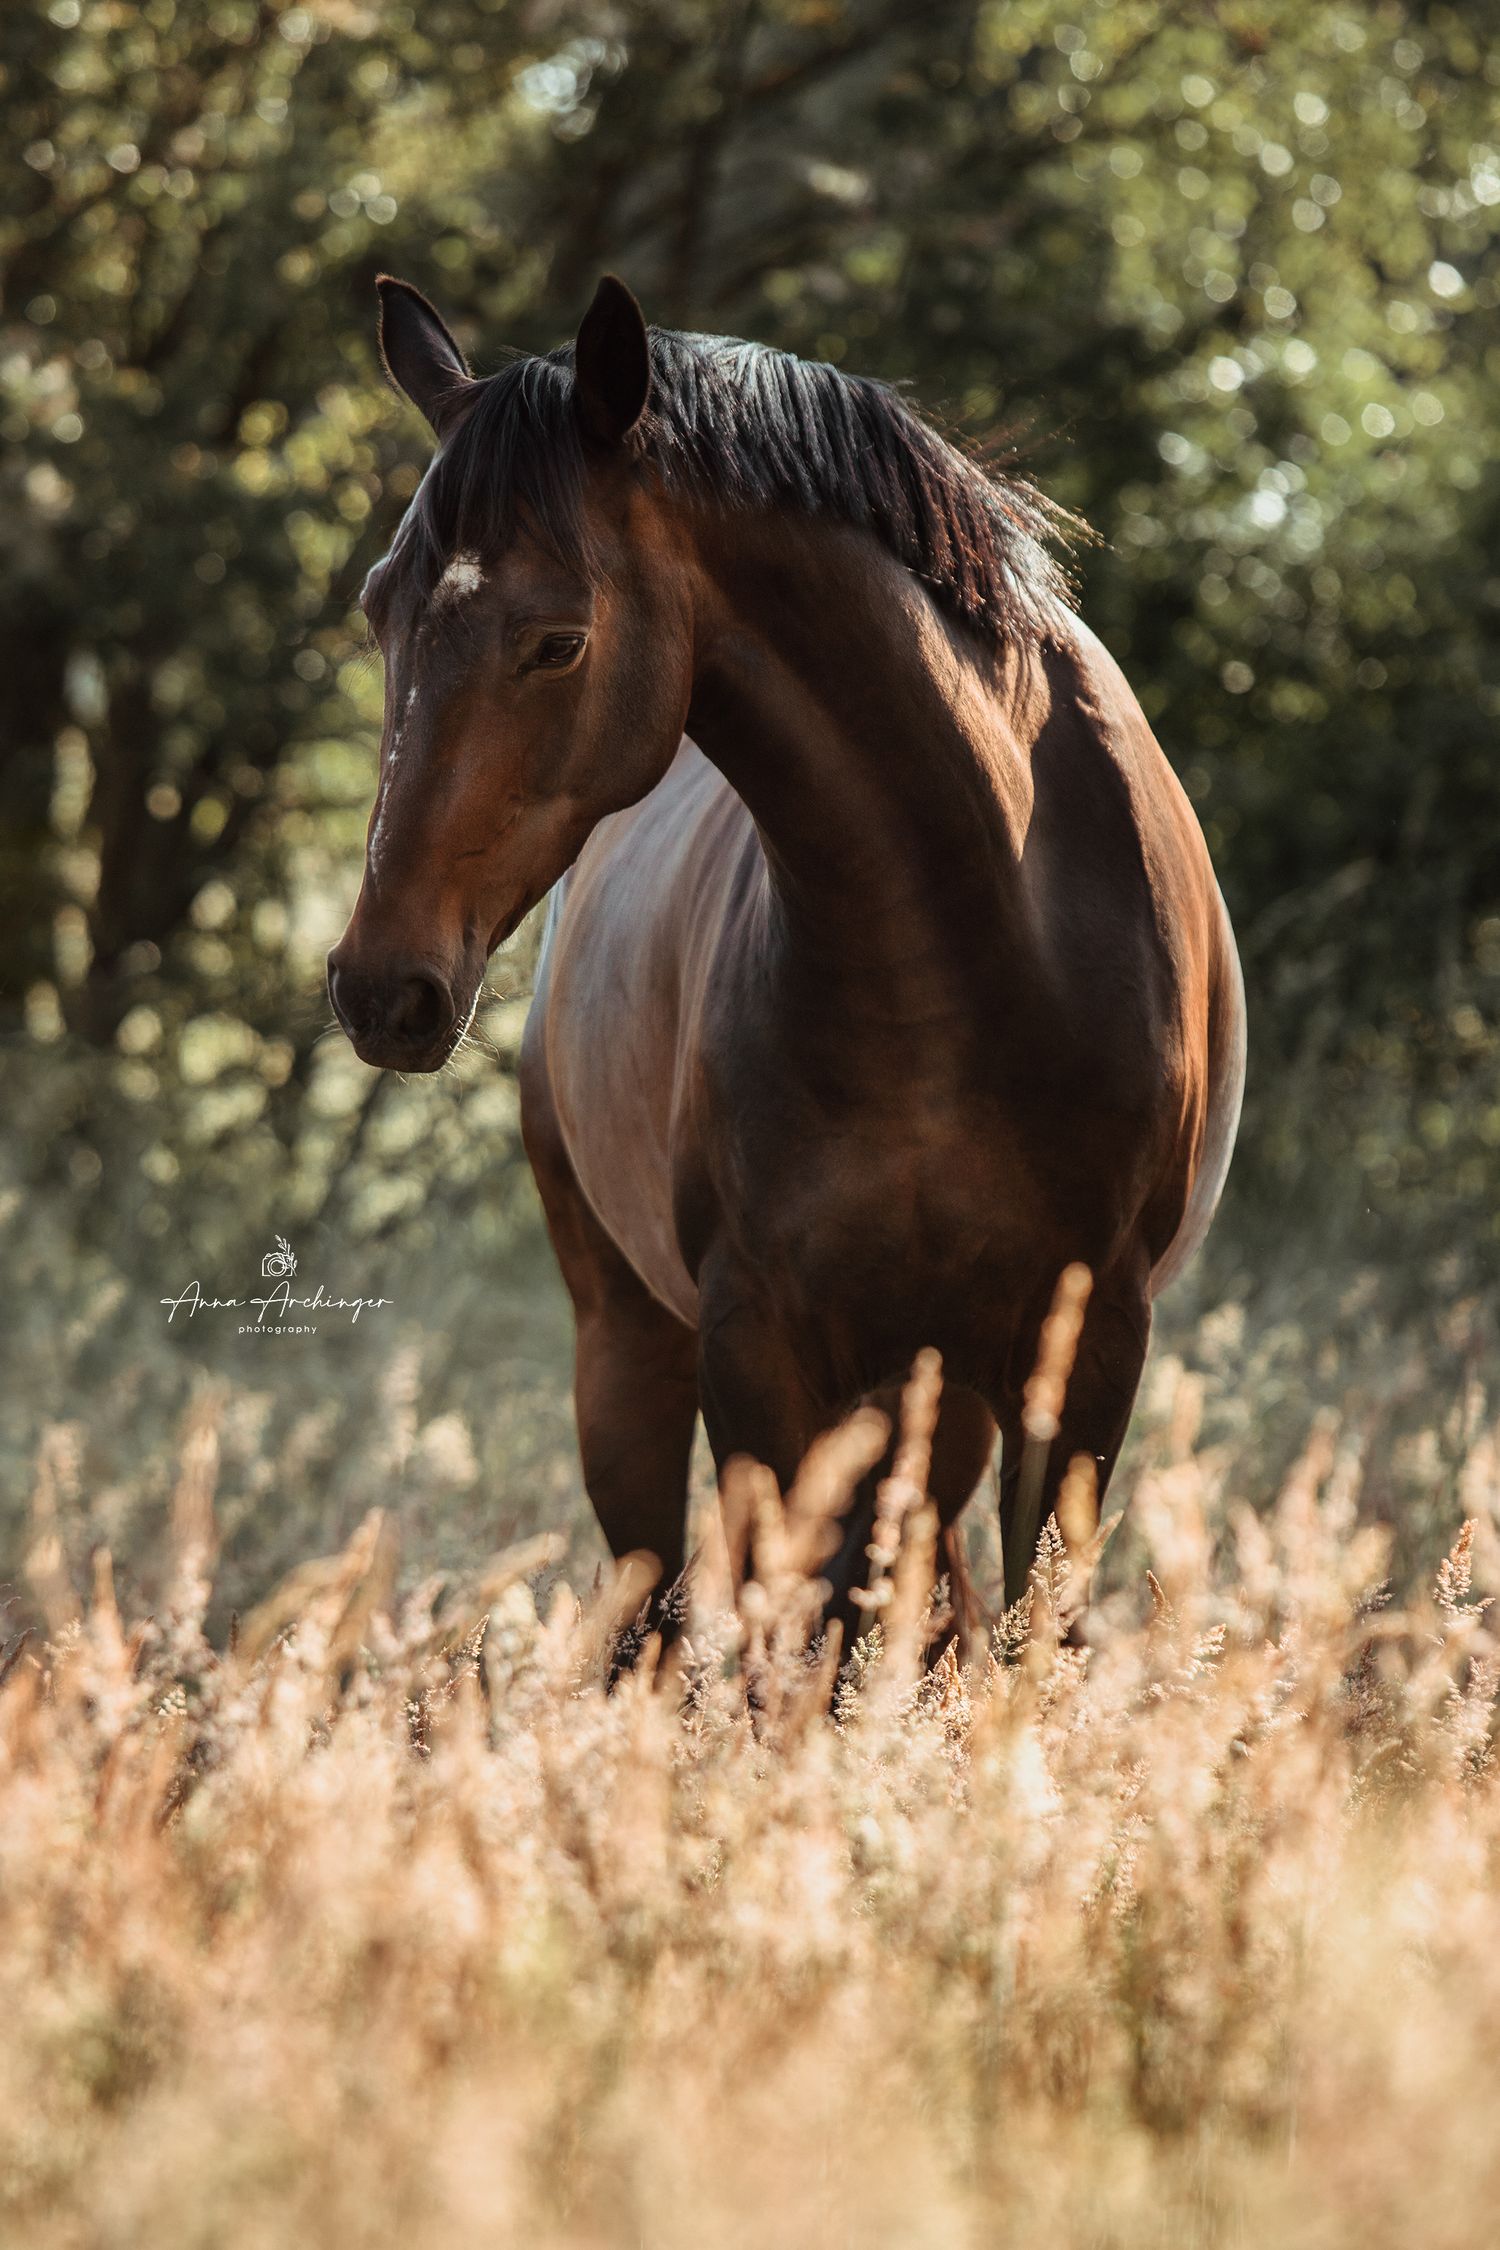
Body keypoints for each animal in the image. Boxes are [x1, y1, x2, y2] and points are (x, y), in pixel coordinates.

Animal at [328, 273, 1246, 1647]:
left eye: (557, 641)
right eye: (380, 608)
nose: (380, 989)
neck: (976, 942)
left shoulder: (1084, 1355)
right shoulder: (754, 1349)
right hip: (631, 1352)